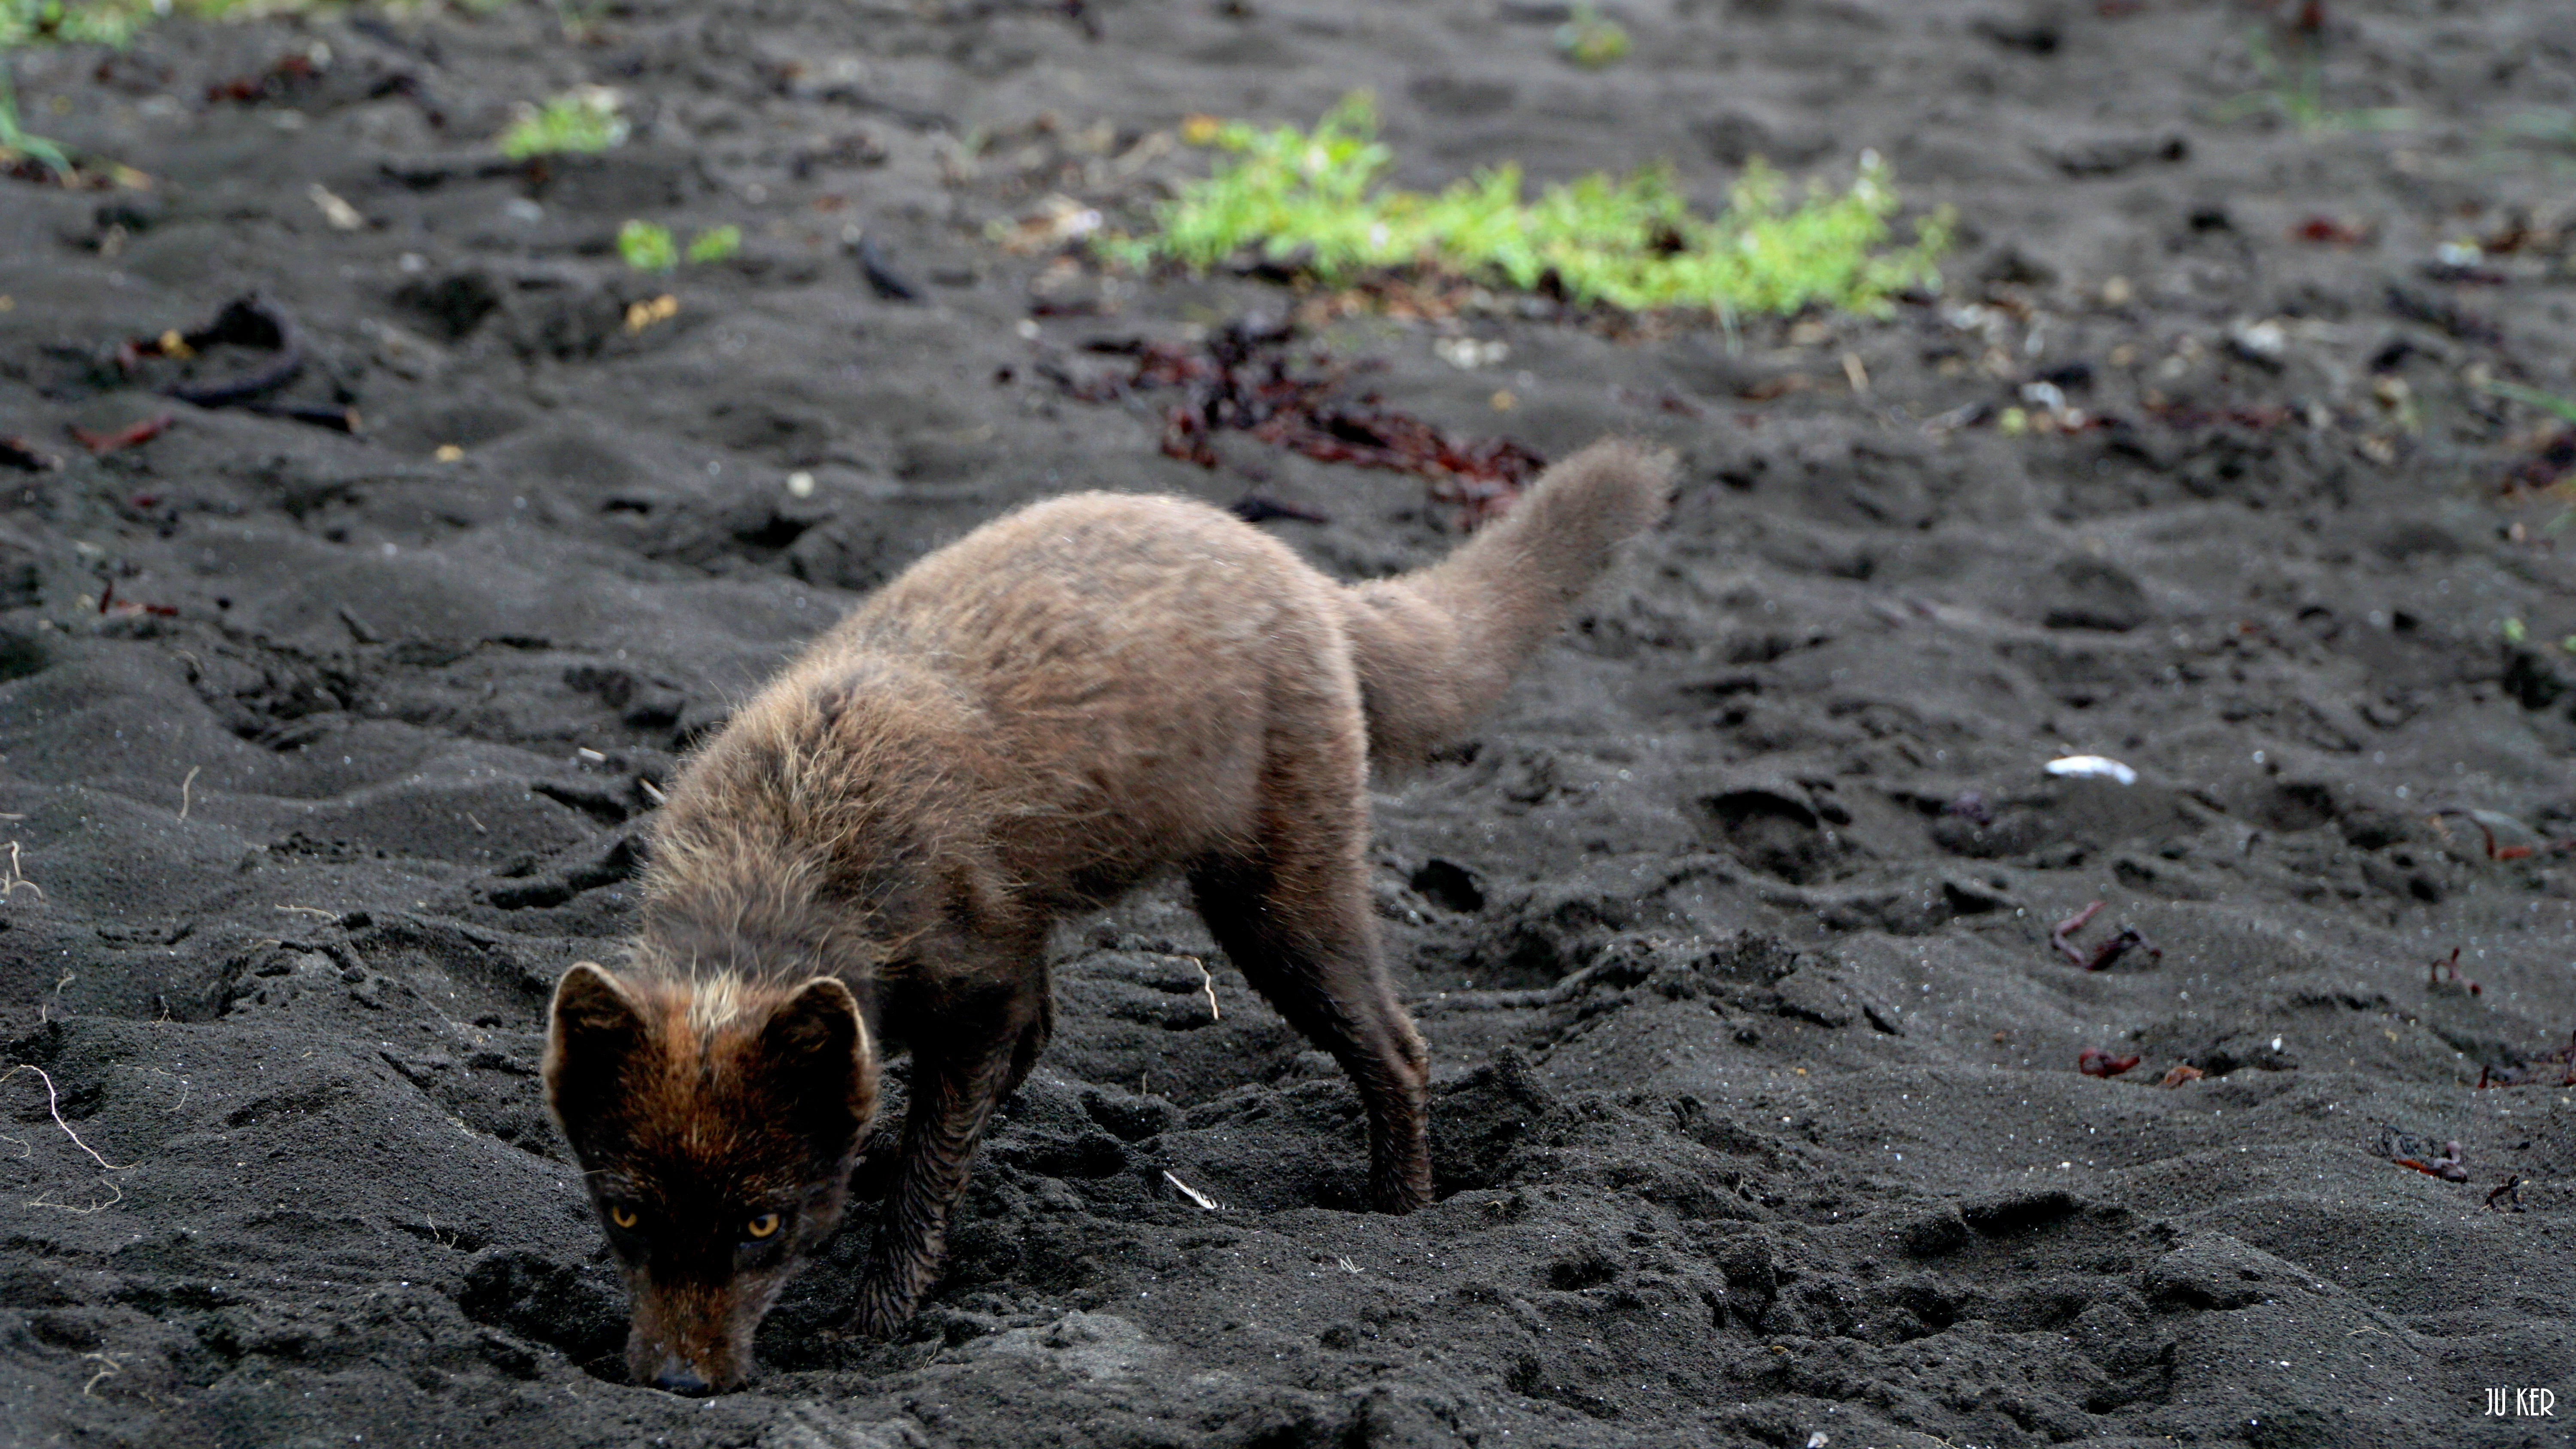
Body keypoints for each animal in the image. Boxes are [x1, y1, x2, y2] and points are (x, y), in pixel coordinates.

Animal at [541, 437, 1673, 1393]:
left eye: (762, 1222)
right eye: (625, 1210)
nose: (678, 1385)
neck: (792, 850)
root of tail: (1302, 574)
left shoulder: (978, 984)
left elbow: (929, 1170)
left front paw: (875, 1317)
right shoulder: (992, 966)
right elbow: (955, 1101)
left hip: (1278, 906)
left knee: (1401, 1046)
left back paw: (1401, 1212)